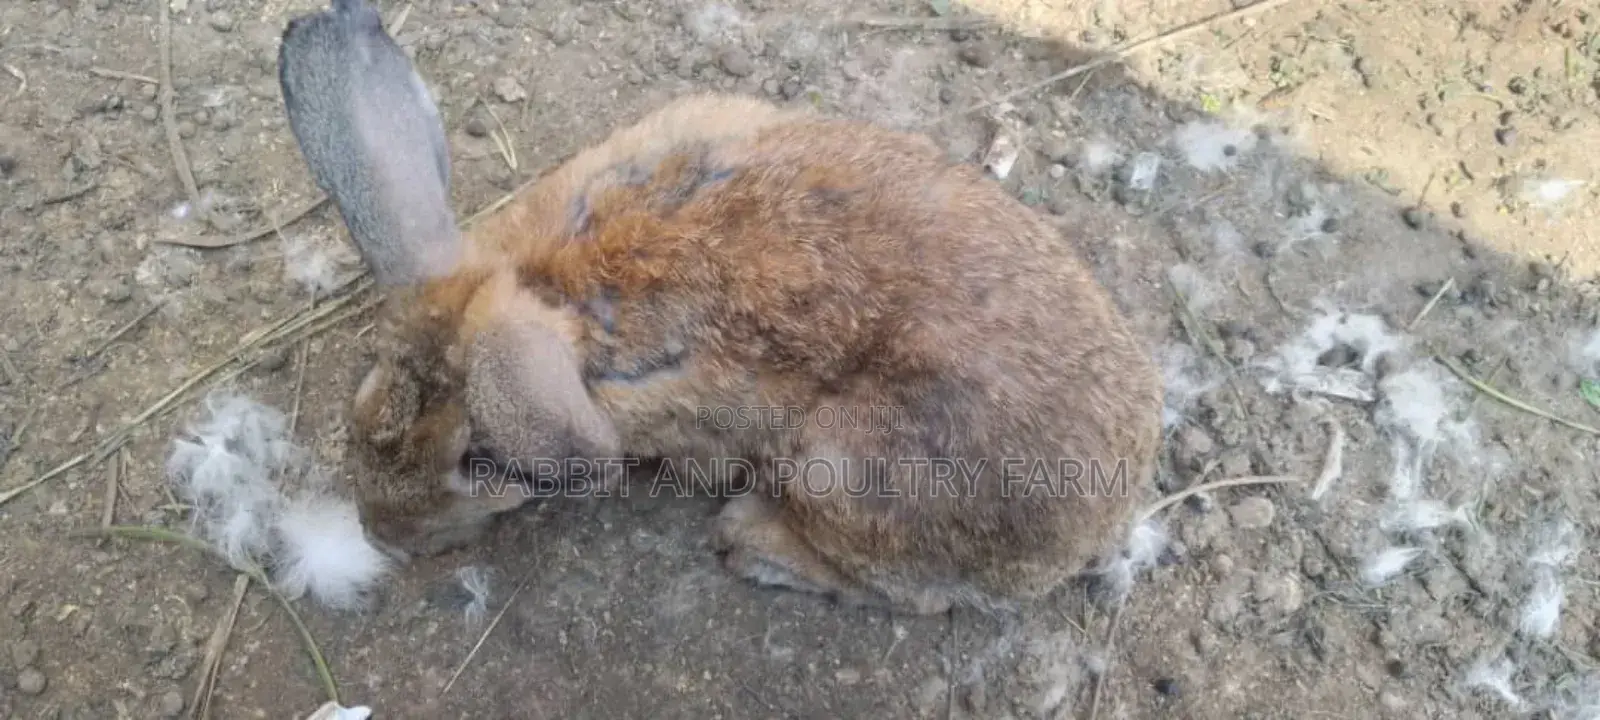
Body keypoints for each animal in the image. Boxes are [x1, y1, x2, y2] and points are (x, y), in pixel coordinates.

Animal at [278, 0, 1165, 615]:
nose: (384, 534)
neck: (547, 284)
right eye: (364, 396)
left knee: (911, 592)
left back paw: (750, 541)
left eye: (486, 464)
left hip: (842, 468)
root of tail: (1104, 520)